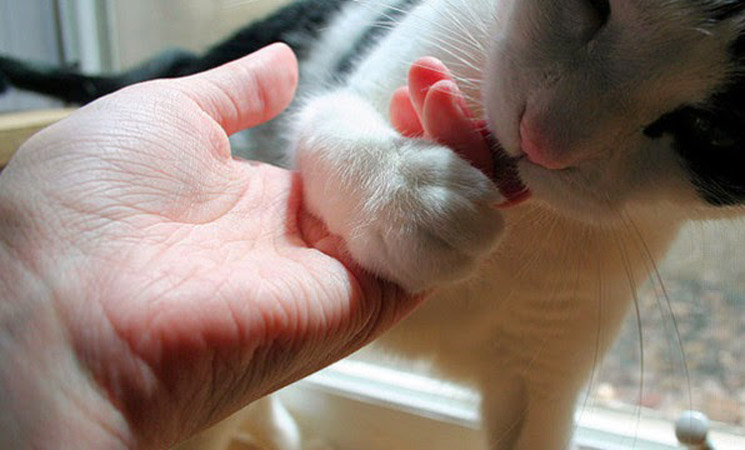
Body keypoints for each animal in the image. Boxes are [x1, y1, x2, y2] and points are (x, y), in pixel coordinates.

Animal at [4, 0, 744, 448]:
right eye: (597, 4)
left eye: (711, 132)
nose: (542, 138)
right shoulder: (352, 89)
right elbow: (327, 120)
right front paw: (405, 192)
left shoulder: (548, 374)